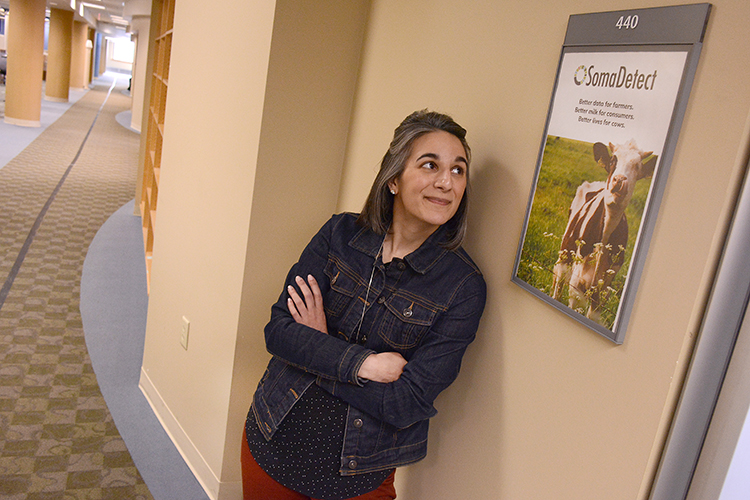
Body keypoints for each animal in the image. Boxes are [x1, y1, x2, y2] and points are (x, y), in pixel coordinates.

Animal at [552, 139, 656, 322]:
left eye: (637, 166)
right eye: (613, 160)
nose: (619, 179)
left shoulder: (603, 289)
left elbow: (593, 315)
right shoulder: (577, 284)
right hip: (565, 253)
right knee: (559, 280)